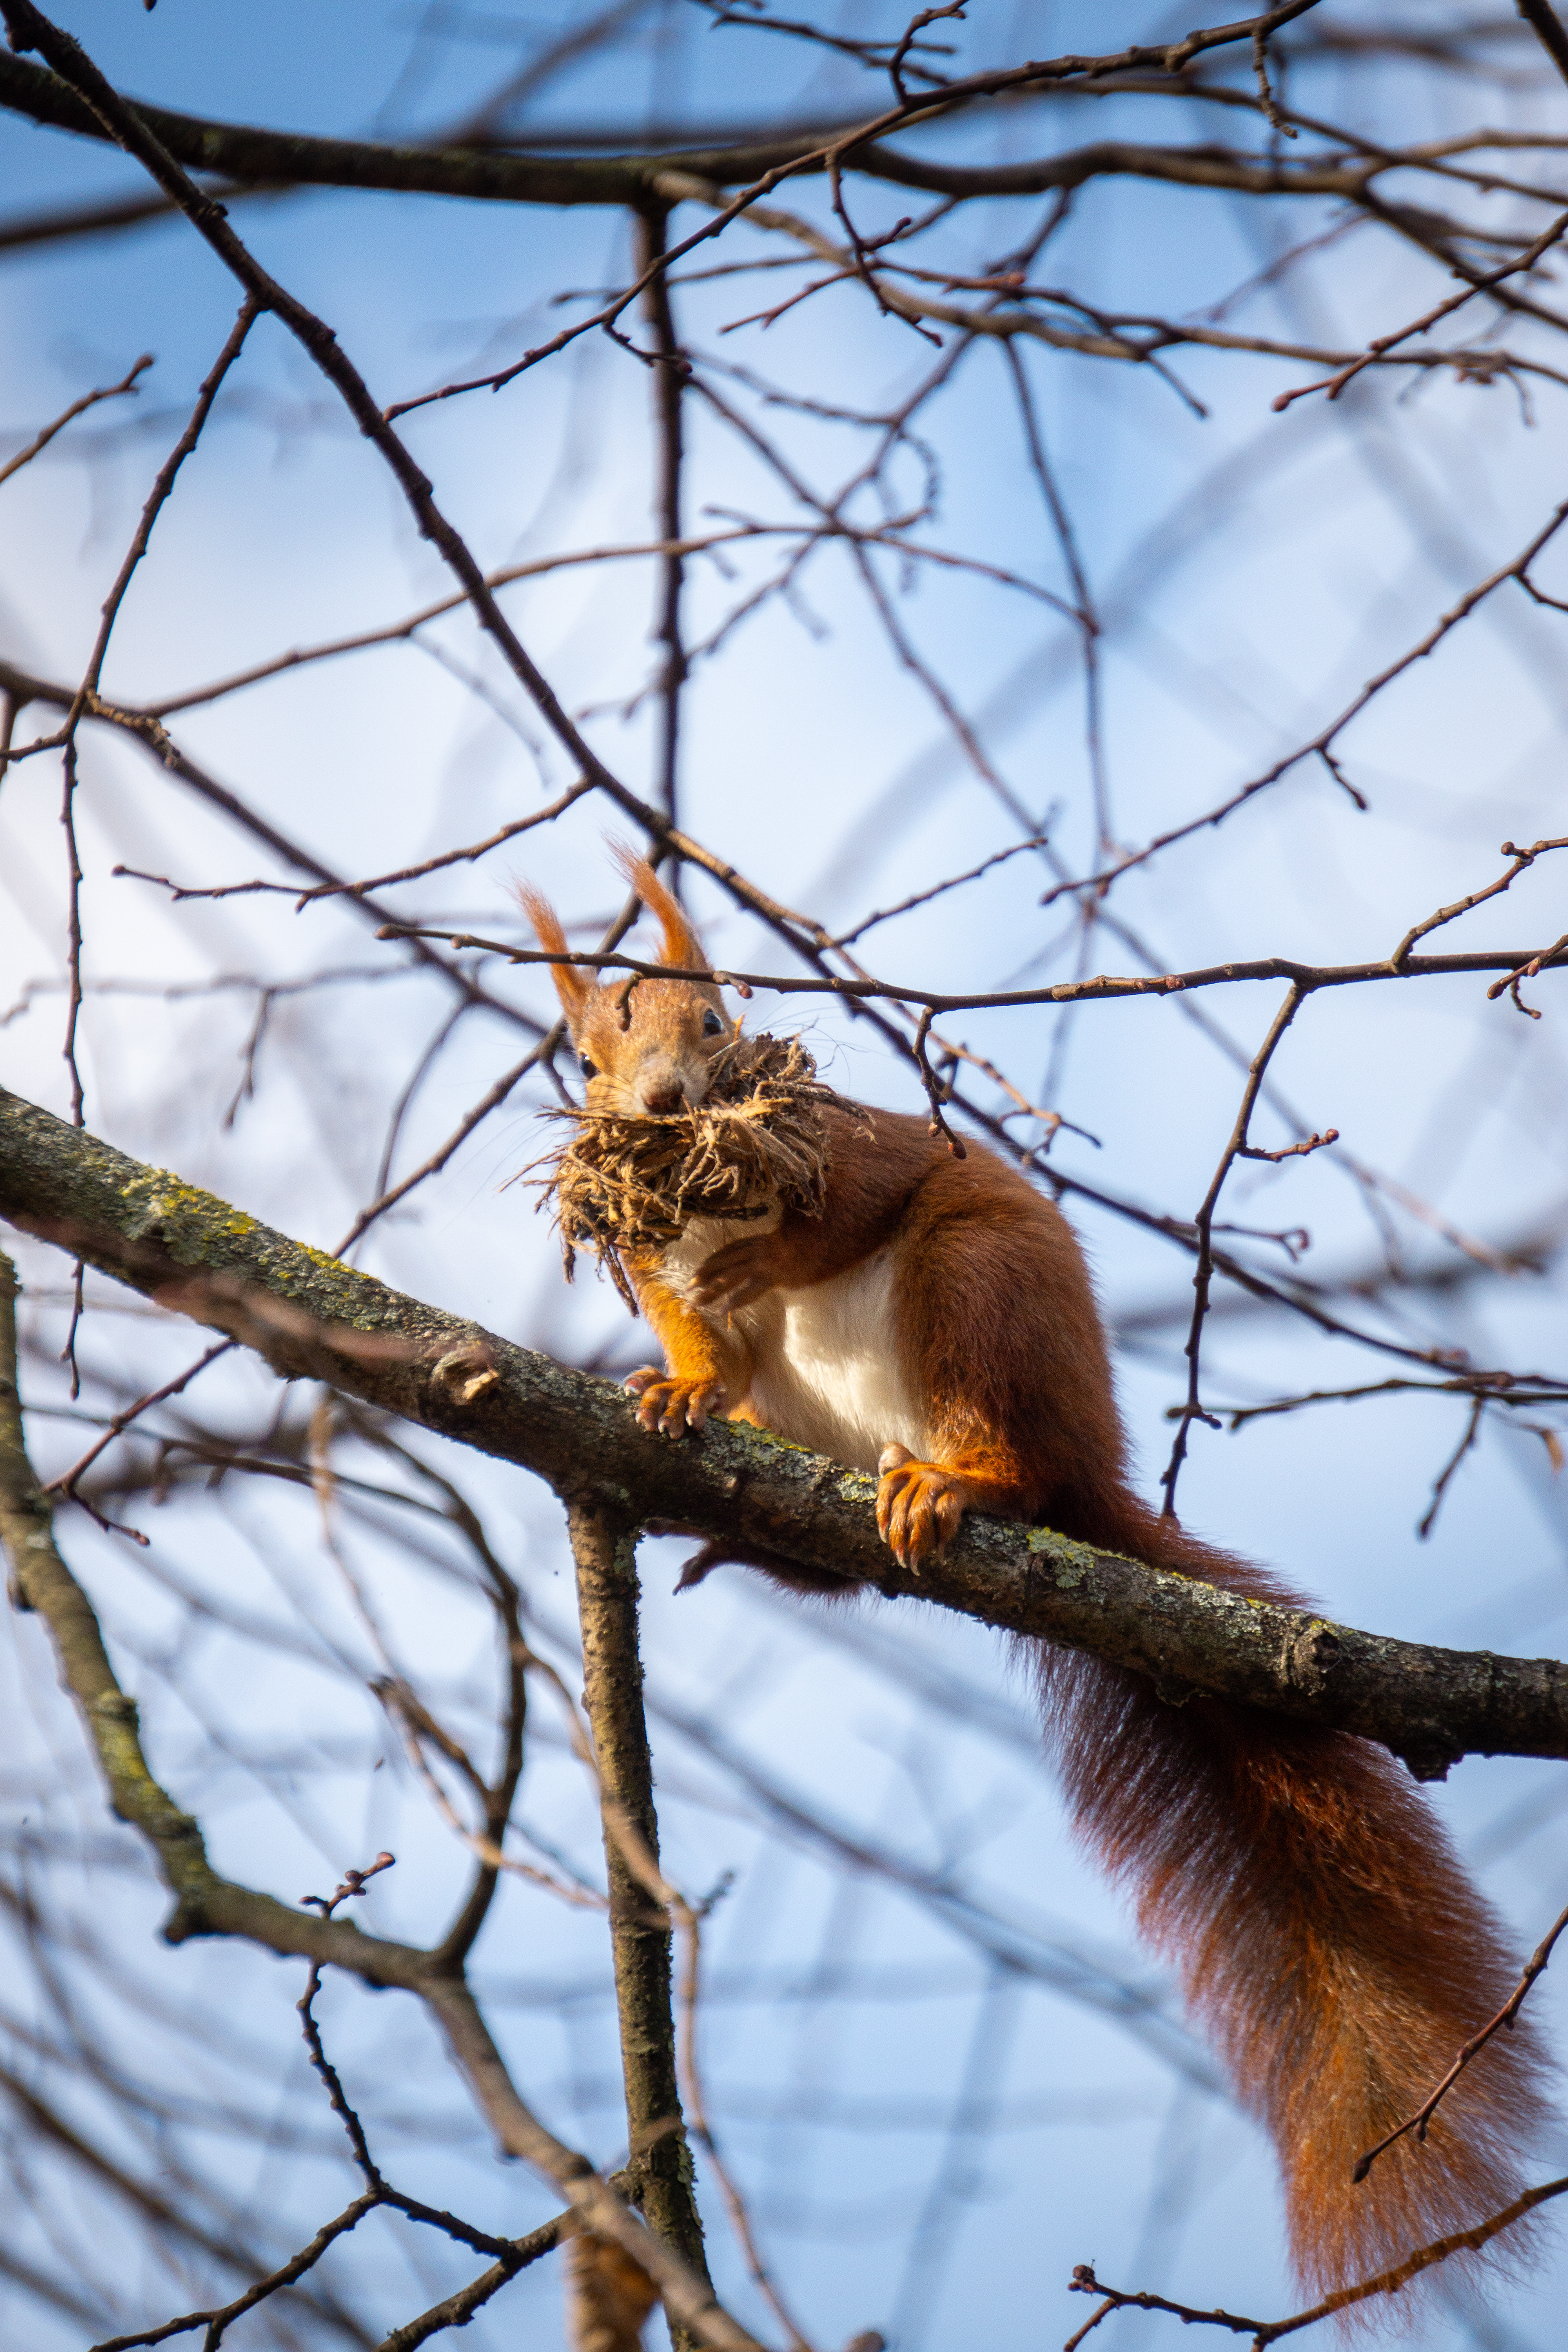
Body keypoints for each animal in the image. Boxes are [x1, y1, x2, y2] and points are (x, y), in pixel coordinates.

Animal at [523, 848, 1548, 2320]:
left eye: (713, 1021)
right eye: (588, 1052)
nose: (663, 1106)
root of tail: (1086, 1478)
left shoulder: (867, 1159)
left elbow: (832, 1223)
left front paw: (766, 1258)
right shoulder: (657, 1270)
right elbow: (700, 1339)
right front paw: (674, 1388)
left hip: (977, 1288)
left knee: (987, 1425)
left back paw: (962, 1490)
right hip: (817, 1423)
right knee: (831, 1553)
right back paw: (743, 1533)